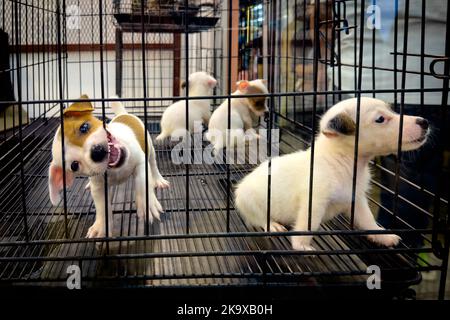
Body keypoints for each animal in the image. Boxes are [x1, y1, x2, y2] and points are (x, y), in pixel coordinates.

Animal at [48, 95, 170, 238]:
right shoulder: (99, 188)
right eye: (74, 165)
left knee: (153, 165)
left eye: (84, 127)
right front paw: (101, 226)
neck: (116, 169)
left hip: (150, 149)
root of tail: (123, 114)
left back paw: (158, 180)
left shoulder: (141, 163)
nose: (97, 152)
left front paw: (148, 205)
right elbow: (102, 208)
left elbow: (142, 185)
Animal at [234, 97, 430, 250]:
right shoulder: (314, 203)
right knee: (259, 218)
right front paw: (301, 246)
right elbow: (308, 225)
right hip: (249, 201)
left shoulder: (356, 199)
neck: (342, 162)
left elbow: (368, 220)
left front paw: (382, 236)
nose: (424, 122)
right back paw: (273, 225)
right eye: (380, 119)